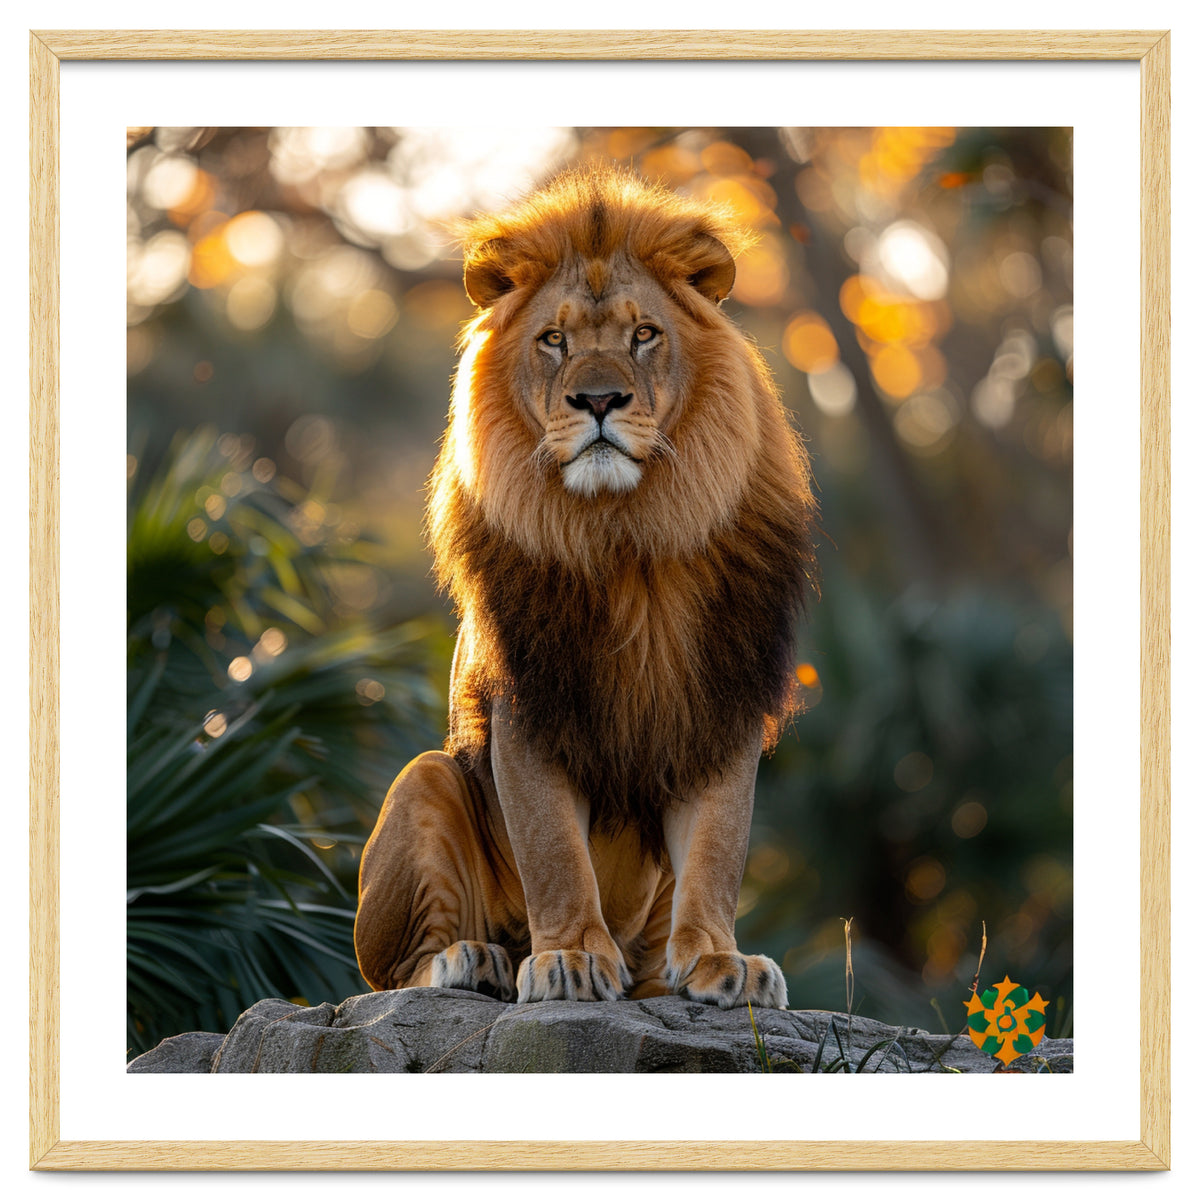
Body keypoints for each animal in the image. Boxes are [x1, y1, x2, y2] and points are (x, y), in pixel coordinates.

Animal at [354, 167, 816, 1010]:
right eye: (554, 340)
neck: (627, 537)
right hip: (425, 779)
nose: (598, 401)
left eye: (644, 335)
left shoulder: (721, 702)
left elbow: (717, 849)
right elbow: (554, 852)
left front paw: (720, 961)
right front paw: (567, 956)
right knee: (392, 974)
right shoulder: (528, 704)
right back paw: (476, 960)